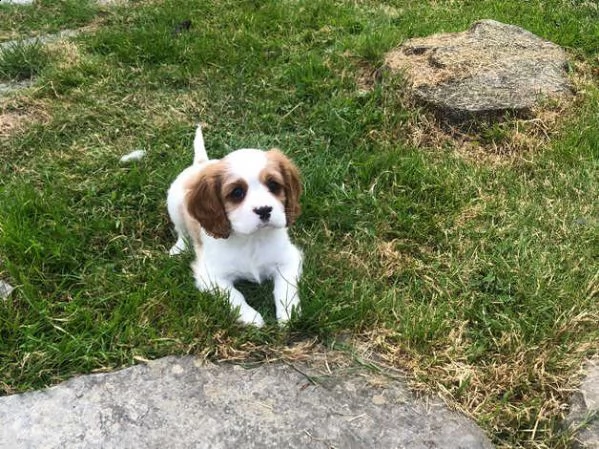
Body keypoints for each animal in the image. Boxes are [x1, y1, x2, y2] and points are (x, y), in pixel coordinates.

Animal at [166, 126, 302, 326]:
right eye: (237, 192)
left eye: (273, 185)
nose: (264, 210)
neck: (252, 239)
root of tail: (201, 164)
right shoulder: (210, 276)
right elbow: (234, 295)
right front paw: (252, 318)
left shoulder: (290, 259)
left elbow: (285, 287)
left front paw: (288, 314)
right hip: (174, 205)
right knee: (181, 231)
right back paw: (178, 249)